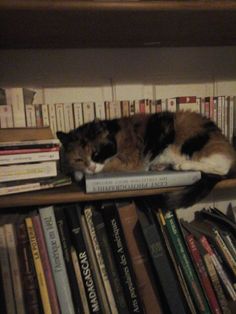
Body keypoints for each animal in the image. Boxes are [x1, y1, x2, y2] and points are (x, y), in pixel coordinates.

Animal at [57, 111, 236, 210]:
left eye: (96, 153)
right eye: (79, 158)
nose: (91, 168)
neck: (114, 135)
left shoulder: (129, 162)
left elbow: (109, 166)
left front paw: (80, 174)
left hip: (192, 142)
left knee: (222, 167)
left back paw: (181, 165)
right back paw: (161, 166)